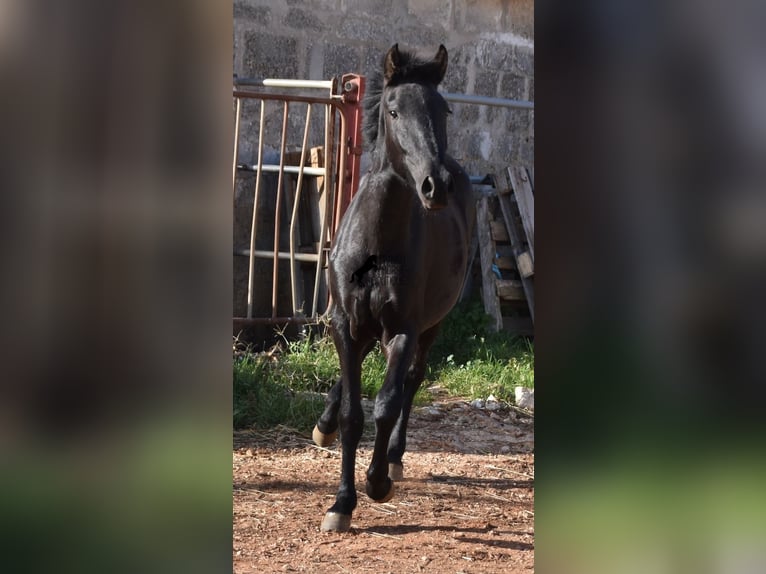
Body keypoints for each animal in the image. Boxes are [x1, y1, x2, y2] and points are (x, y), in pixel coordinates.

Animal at [312, 42, 474, 532]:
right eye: (394, 109)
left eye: (444, 110)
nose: (436, 186)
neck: (377, 243)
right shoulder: (344, 323)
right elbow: (353, 412)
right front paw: (340, 504)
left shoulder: (403, 328)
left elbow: (385, 403)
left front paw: (377, 482)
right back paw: (323, 425)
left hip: (431, 325)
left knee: (411, 382)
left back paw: (396, 457)